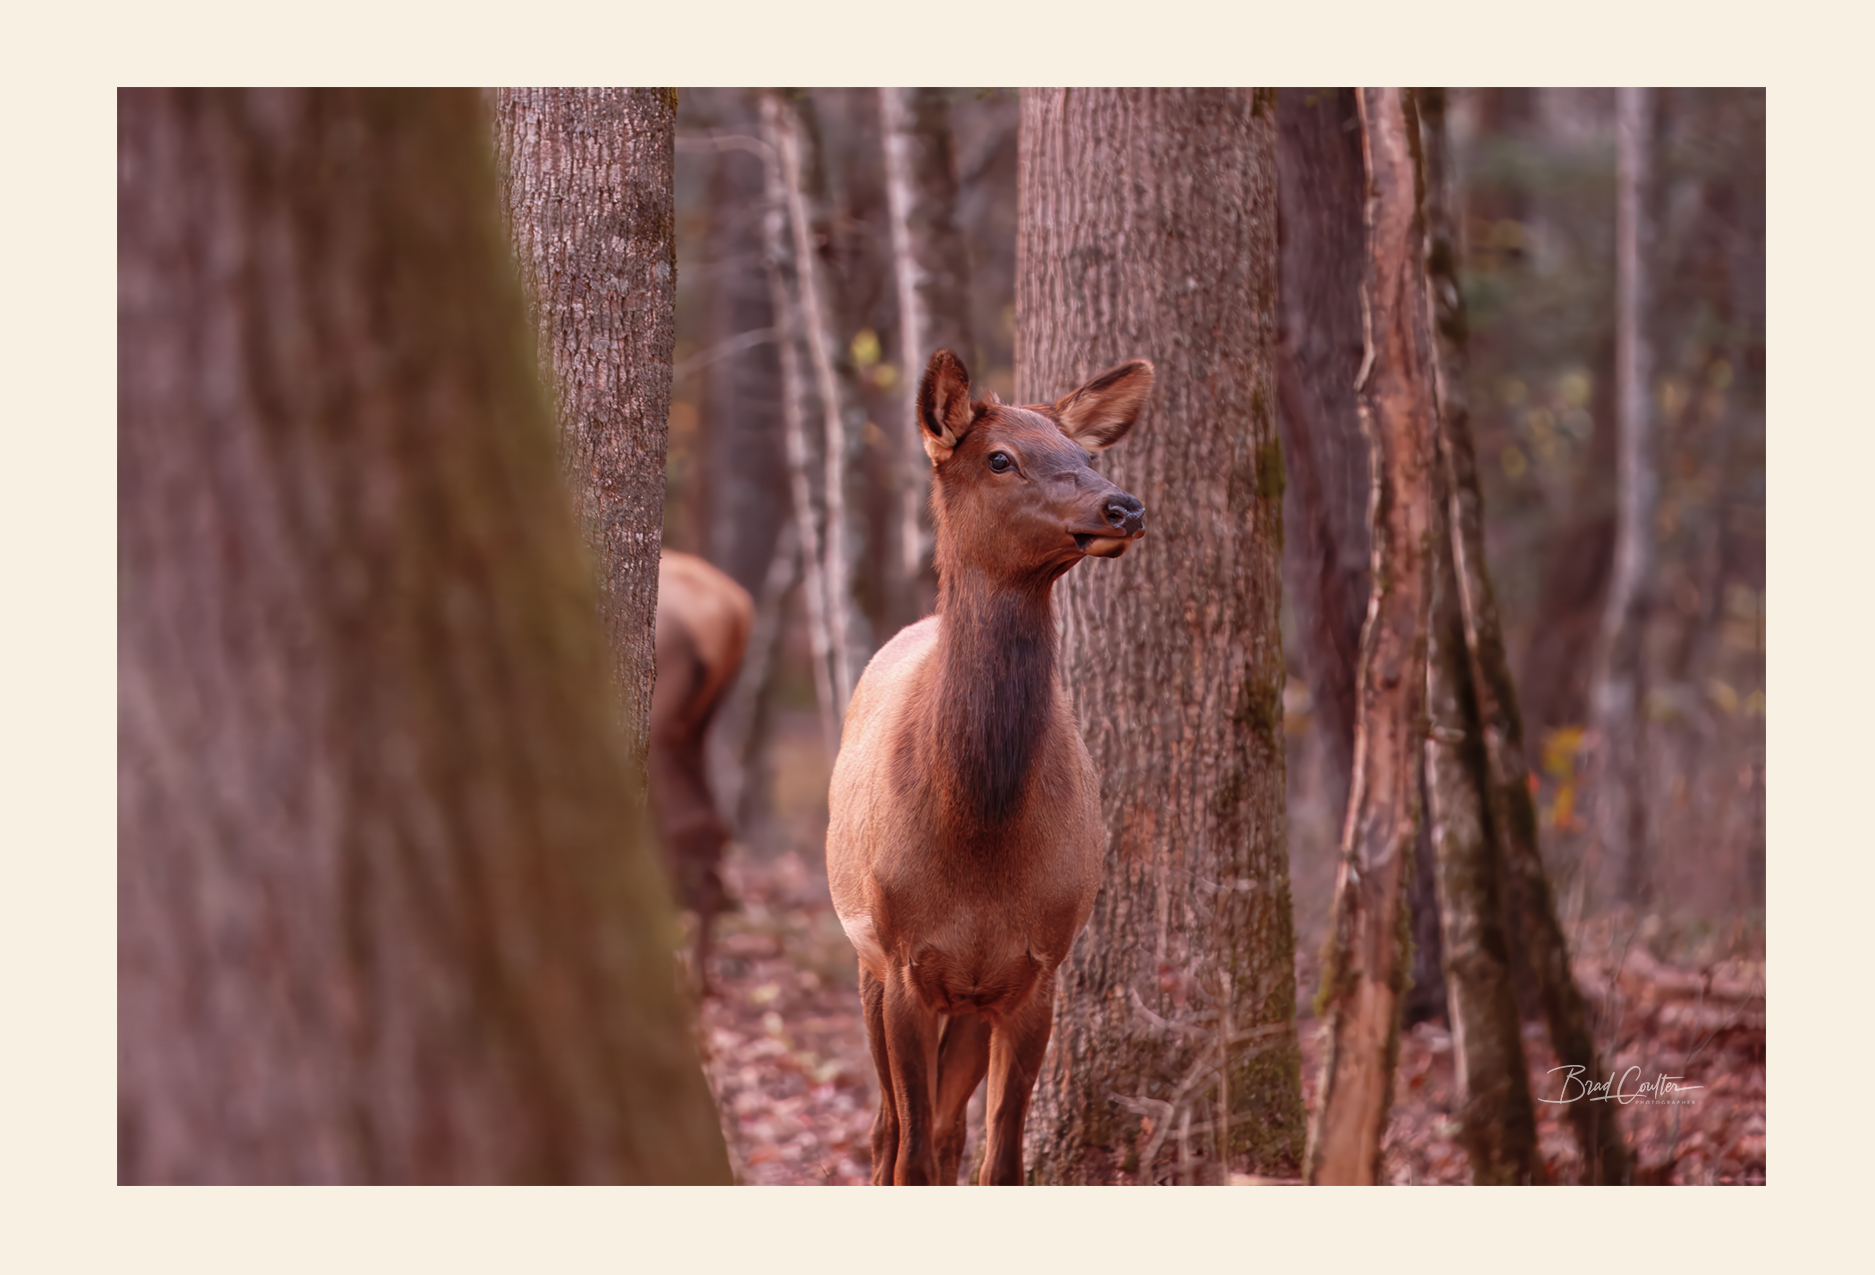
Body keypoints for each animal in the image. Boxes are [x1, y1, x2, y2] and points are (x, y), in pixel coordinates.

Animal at [826, 348, 1153, 1185]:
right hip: (865, 959)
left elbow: (999, 1159)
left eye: (1083, 454)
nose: (1123, 507)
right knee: (886, 1132)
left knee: (944, 1132)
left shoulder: (1035, 970)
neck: (979, 832)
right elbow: (908, 1156)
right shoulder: (904, 960)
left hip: (968, 1003)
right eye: (1000, 458)